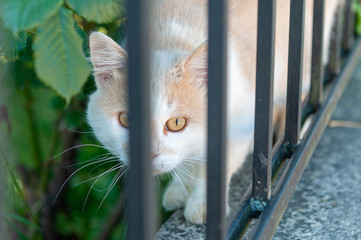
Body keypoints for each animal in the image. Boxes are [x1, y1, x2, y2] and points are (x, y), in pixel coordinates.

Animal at [86, 0, 338, 225]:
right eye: (127, 119)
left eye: (176, 123)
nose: (148, 154)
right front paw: (181, 188)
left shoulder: (241, 120)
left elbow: (217, 165)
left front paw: (202, 207)